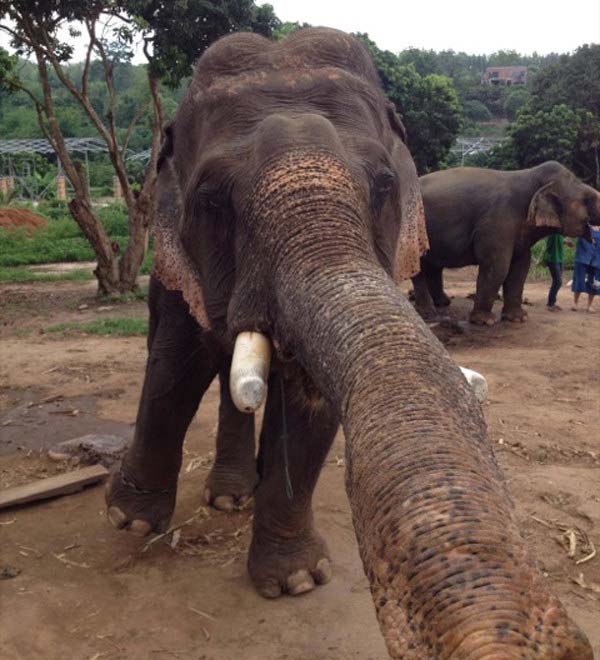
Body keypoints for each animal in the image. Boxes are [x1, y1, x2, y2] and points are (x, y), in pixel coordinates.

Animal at [412, 160, 600, 324]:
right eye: (587, 199)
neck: (530, 176)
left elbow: (521, 267)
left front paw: (518, 319)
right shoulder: (497, 222)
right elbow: (497, 267)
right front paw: (485, 321)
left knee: (433, 266)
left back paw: (443, 303)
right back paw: (427, 312)